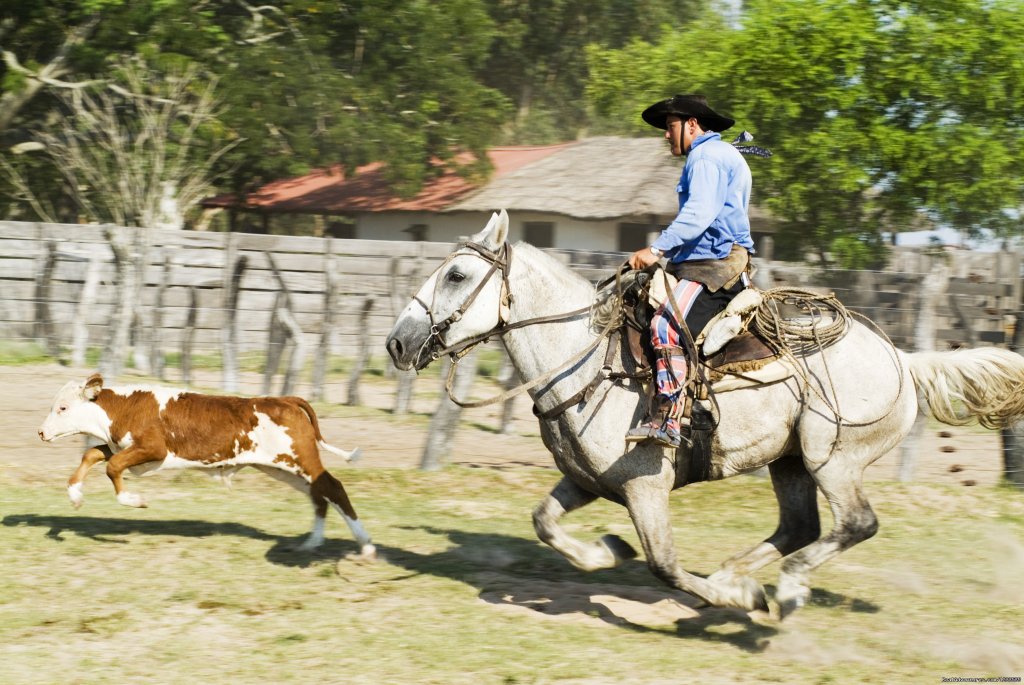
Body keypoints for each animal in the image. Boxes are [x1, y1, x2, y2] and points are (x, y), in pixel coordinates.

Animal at [40, 374, 376, 557]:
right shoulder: (124, 449)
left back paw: (366, 546)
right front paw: (75, 496)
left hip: (300, 459)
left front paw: (135, 500)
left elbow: (112, 469)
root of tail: (285, 400)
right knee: (319, 495)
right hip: (280, 467)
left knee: (333, 487)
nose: (41, 432)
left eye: (63, 408)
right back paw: (311, 543)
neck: (126, 407)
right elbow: (92, 456)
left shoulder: (153, 450)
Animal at [385, 208, 1024, 614]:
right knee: (800, 527)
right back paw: (735, 574)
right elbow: (544, 522)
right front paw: (605, 550)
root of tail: (902, 360)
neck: (584, 360)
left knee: (854, 524)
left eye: (458, 274)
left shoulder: (645, 487)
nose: (396, 342)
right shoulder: (587, 480)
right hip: (790, 462)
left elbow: (664, 564)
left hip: (833, 459)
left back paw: (779, 590)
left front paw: (735, 600)